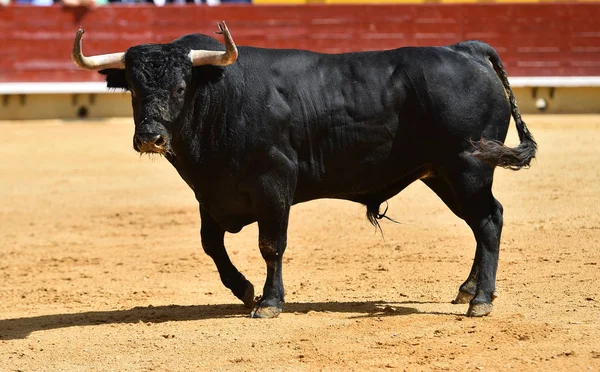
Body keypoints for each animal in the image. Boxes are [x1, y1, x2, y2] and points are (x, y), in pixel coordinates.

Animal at [72, 21, 536, 318]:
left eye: (181, 86)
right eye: (134, 90)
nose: (150, 138)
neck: (220, 95)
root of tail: (466, 49)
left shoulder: (275, 184)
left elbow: (271, 245)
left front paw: (269, 303)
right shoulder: (212, 194)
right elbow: (210, 244)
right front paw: (245, 290)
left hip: (467, 168)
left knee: (488, 220)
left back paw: (481, 300)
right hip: (442, 174)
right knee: (480, 223)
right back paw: (468, 290)